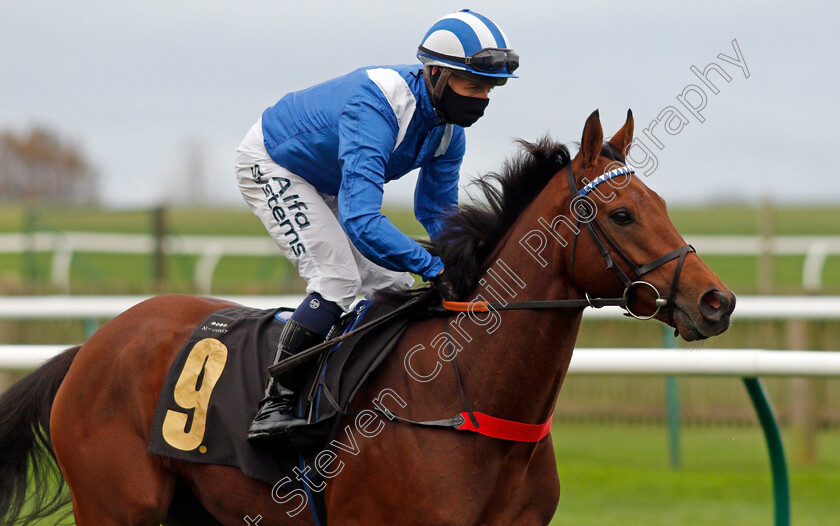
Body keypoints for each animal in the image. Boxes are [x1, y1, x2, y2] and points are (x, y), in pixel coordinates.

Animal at [0, 109, 736, 524]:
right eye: (623, 214)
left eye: (662, 203)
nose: (717, 301)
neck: (465, 399)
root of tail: (92, 347)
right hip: (114, 506)